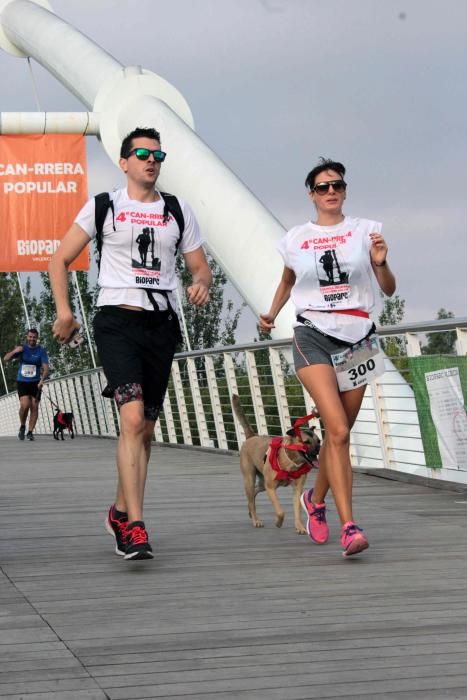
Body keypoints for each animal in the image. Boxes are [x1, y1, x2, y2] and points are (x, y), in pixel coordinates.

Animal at [231, 394, 320, 536]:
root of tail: (251, 437)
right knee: (252, 498)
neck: (291, 460)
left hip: (262, 484)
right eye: (306, 442)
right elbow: (280, 511)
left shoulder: (297, 490)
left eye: (318, 441)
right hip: (250, 479)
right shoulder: (271, 488)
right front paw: (278, 522)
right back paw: (255, 520)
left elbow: (297, 511)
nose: (318, 449)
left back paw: (250, 512)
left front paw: (299, 527)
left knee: (253, 495)